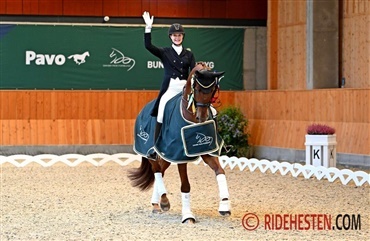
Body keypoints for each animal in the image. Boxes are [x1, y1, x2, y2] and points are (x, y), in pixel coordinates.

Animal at [129, 63, 230, 223]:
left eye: (213, 90)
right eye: (197, 89)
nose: (201, 117)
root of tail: (143, 110)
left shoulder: (206, 152)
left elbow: (220, 172)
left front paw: (225, 206)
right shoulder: (180, 155)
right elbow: (185, 186)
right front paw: (188, 216)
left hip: (166, 155)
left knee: (161, 170)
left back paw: (156, 203)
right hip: (150, 152)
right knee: (157, 170)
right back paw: (163, 202)